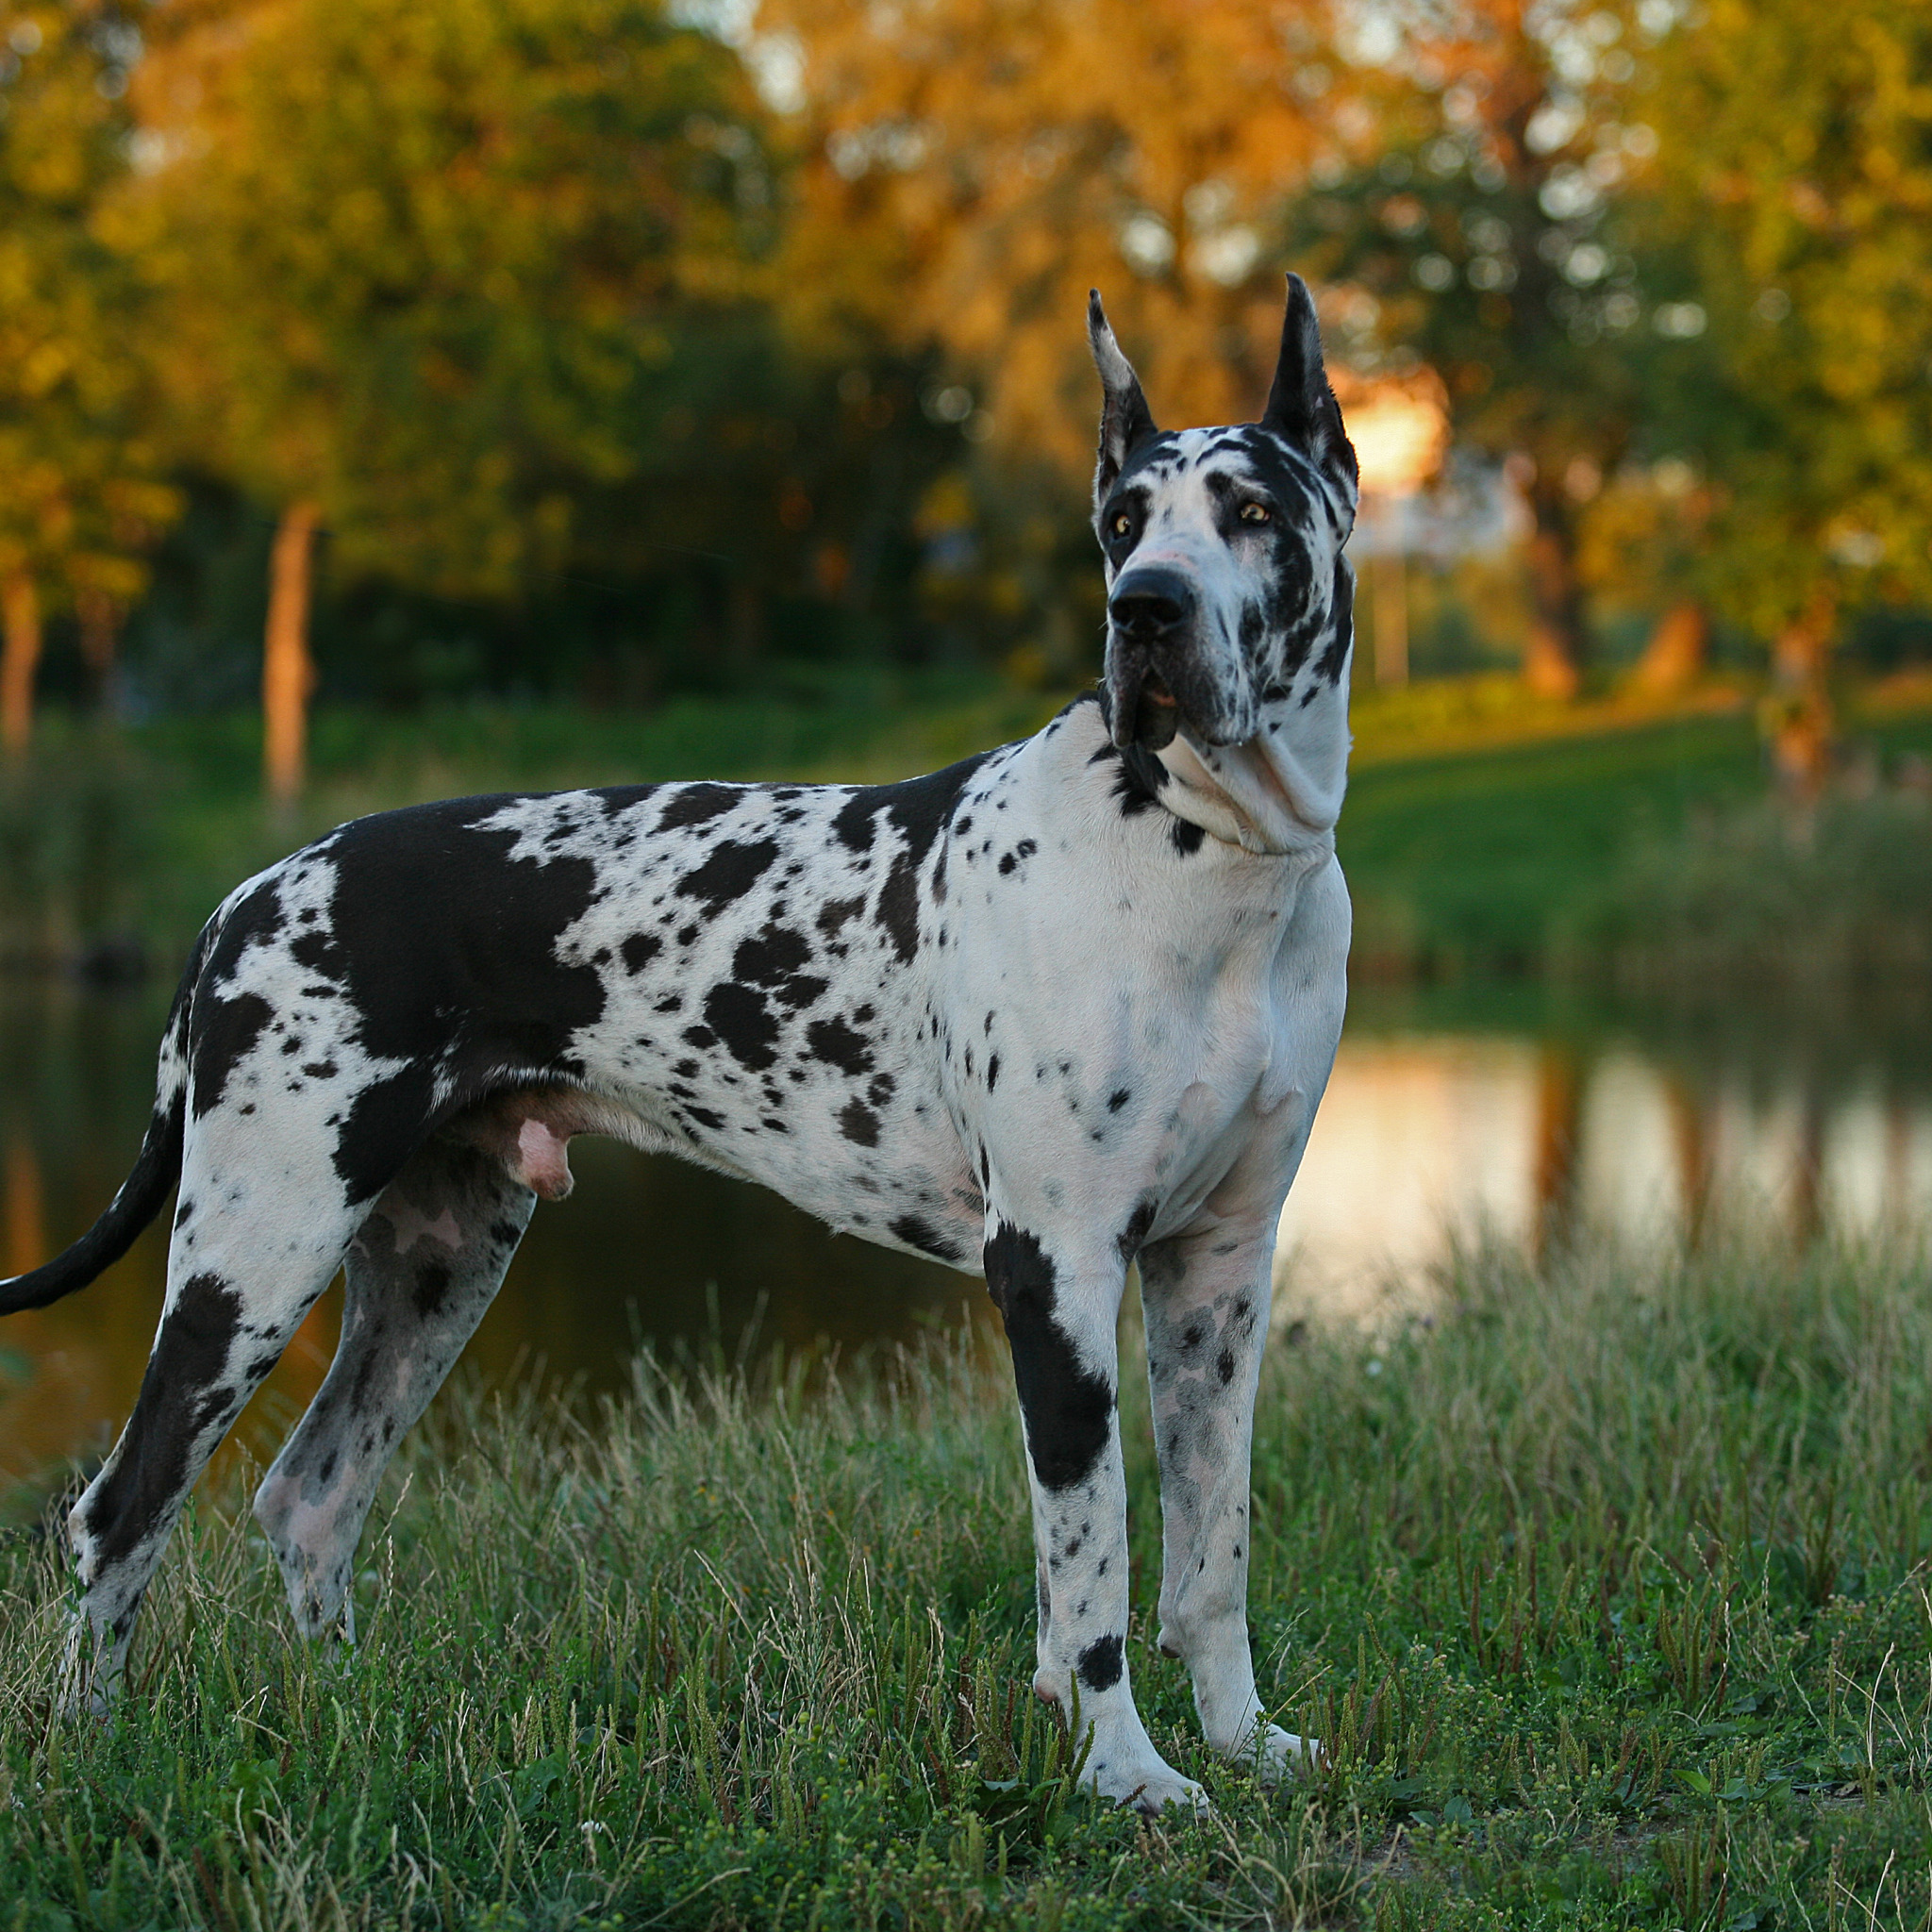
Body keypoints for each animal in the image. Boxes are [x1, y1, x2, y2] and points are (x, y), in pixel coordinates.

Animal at [4, 272, 1359, 1807]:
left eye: (1250, 510)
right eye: (1124, 522)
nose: (1147, 612)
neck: (1210, 858)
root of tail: (244, 893)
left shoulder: (1219, 1273)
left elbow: (1210, 1552)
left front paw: (1244, 1742)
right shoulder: (1055, 1268)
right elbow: (1092, 1571)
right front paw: (1125, 1776)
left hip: (433, 1263)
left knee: (310, 1496)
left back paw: (351, 1713)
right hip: (251, 1253)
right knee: (120, 1507)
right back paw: (90, 1745)